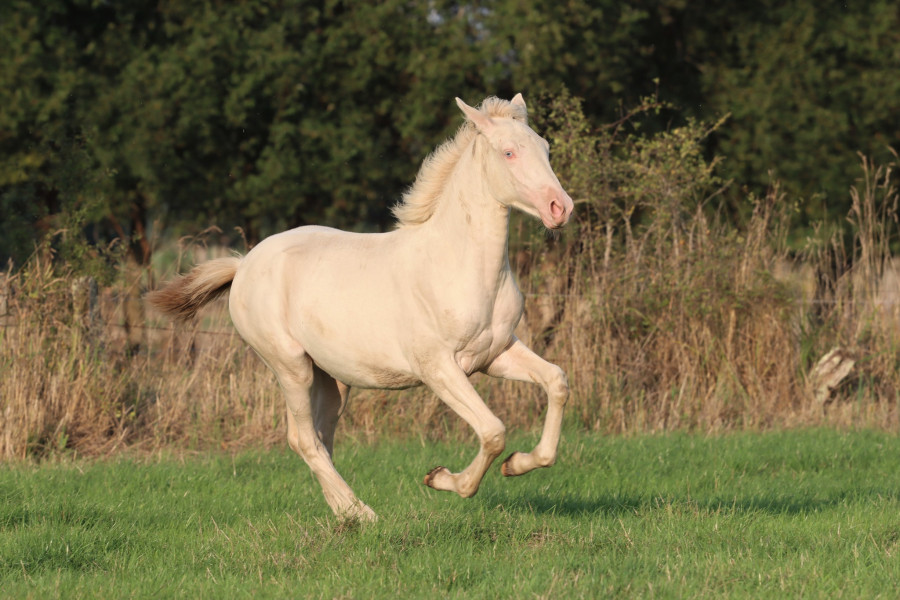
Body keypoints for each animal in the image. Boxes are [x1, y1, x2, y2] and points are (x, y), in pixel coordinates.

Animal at [148, 94, 574, 521]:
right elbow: (493, 431)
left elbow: (556, 382)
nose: (560, 208)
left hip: (333, 379)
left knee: (321, 438)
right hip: (290, 367)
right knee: (304, 439)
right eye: (509, 152)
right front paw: (441, 479)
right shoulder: (438, 368)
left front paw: (517, 464)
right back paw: (362, 514)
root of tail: (243, 265)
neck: (456, 264)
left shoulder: (494, 354)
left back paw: (343, 511)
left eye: (546, 148)